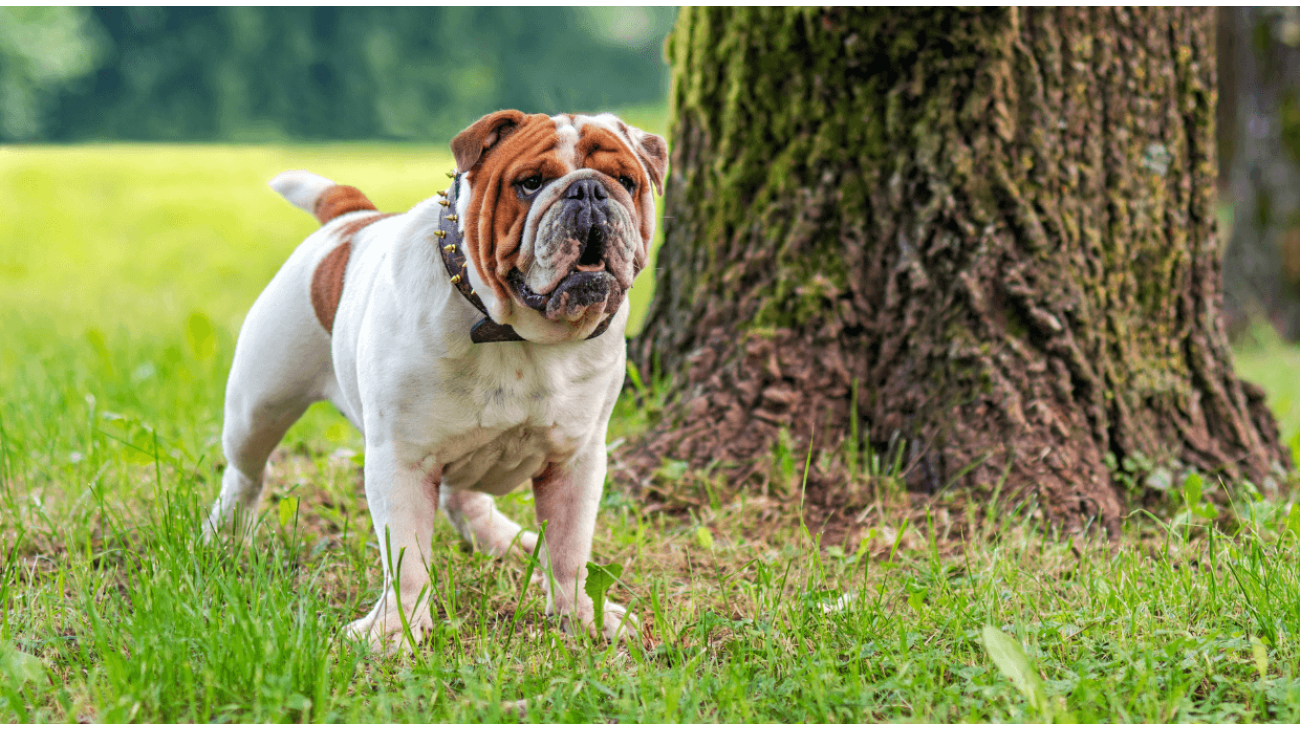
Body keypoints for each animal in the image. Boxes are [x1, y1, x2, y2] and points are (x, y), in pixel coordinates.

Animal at [209, 109, 670, 641]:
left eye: (626, 182)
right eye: (531, 183)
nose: (590, 190)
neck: (515, 334)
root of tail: (350, 220)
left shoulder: (576, 459)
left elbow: (570, 547)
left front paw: (581, 616)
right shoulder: (402, 459)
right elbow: (407, 557)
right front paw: (395, 630)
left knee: (465, 495)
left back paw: (503, 538)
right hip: (258, 406)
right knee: (246, 473)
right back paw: (223, 535)